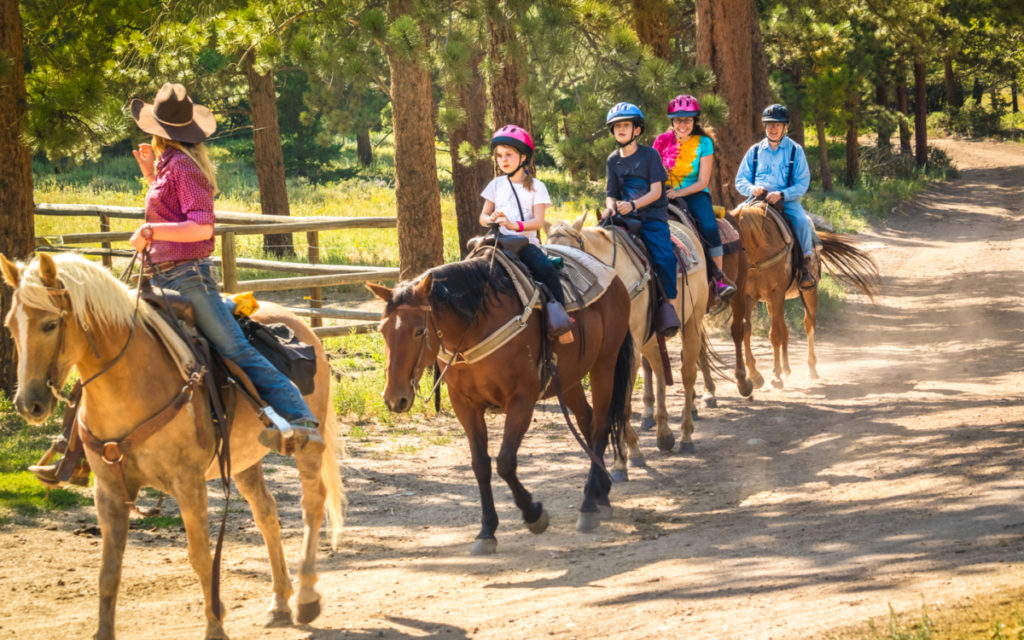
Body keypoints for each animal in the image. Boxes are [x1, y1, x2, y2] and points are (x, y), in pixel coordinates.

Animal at [0, 252, 344, 638]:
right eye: (11, 326)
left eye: (48, 325)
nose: (29, 404)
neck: (132, 384)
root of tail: (301, 323)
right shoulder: (108, 490)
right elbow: (108, 569)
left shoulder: (188, 483)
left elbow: (201, 557)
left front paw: (215, 627)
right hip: (243, 460)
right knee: (267, 514)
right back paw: (280, 603)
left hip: (306, 448)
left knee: (312, 505)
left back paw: (306, 598)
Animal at [368, 252, 630, 552]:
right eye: (383, 330)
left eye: (419, 332)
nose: (394, 398)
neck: (475, 327)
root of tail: (613, 276)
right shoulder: (465, 405)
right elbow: (480, 465)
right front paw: (486, 532)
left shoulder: (522, 400)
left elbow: (505, 462)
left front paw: (533, 514)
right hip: (570, 378)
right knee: (587, 421)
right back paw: (601, 494)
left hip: (604, 364)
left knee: (600, 426)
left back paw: (589, 505)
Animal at [548, 211, 708, 471]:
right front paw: (622, 458)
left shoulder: (627, 350)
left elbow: (621, 401)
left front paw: (628, 456)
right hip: (650, 338)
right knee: (659, 369)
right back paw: (664, 433)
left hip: (693, 320)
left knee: (687, 374)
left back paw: (685, 436)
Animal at [737, 201, 880, 387]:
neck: (759, 253)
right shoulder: (749, 297)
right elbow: (747, 330)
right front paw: (755, 375)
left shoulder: (776, 294)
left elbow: (774, 335)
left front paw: (776, 376)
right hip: (771, 302)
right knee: (785, 329)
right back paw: (787, 369)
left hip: (808, 292)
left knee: (808, 325)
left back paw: (811, 369)